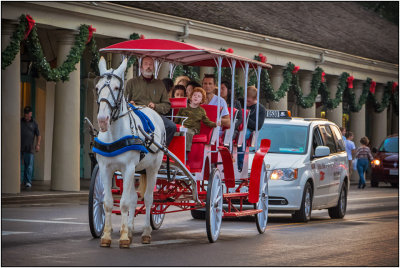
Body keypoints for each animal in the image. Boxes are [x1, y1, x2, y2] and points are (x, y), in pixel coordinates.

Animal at [94, 56, 165, 247]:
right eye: (97, 87)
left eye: (117, 88)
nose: (102, 120)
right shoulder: (106, 168)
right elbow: (108, 202)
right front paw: (107, 236)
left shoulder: (128, 167)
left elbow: (124, 203)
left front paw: (124, 238)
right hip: (137, 170)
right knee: (134, 198)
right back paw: (132, 229)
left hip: (152, 168)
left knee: (148, 199)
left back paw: (146, 232)